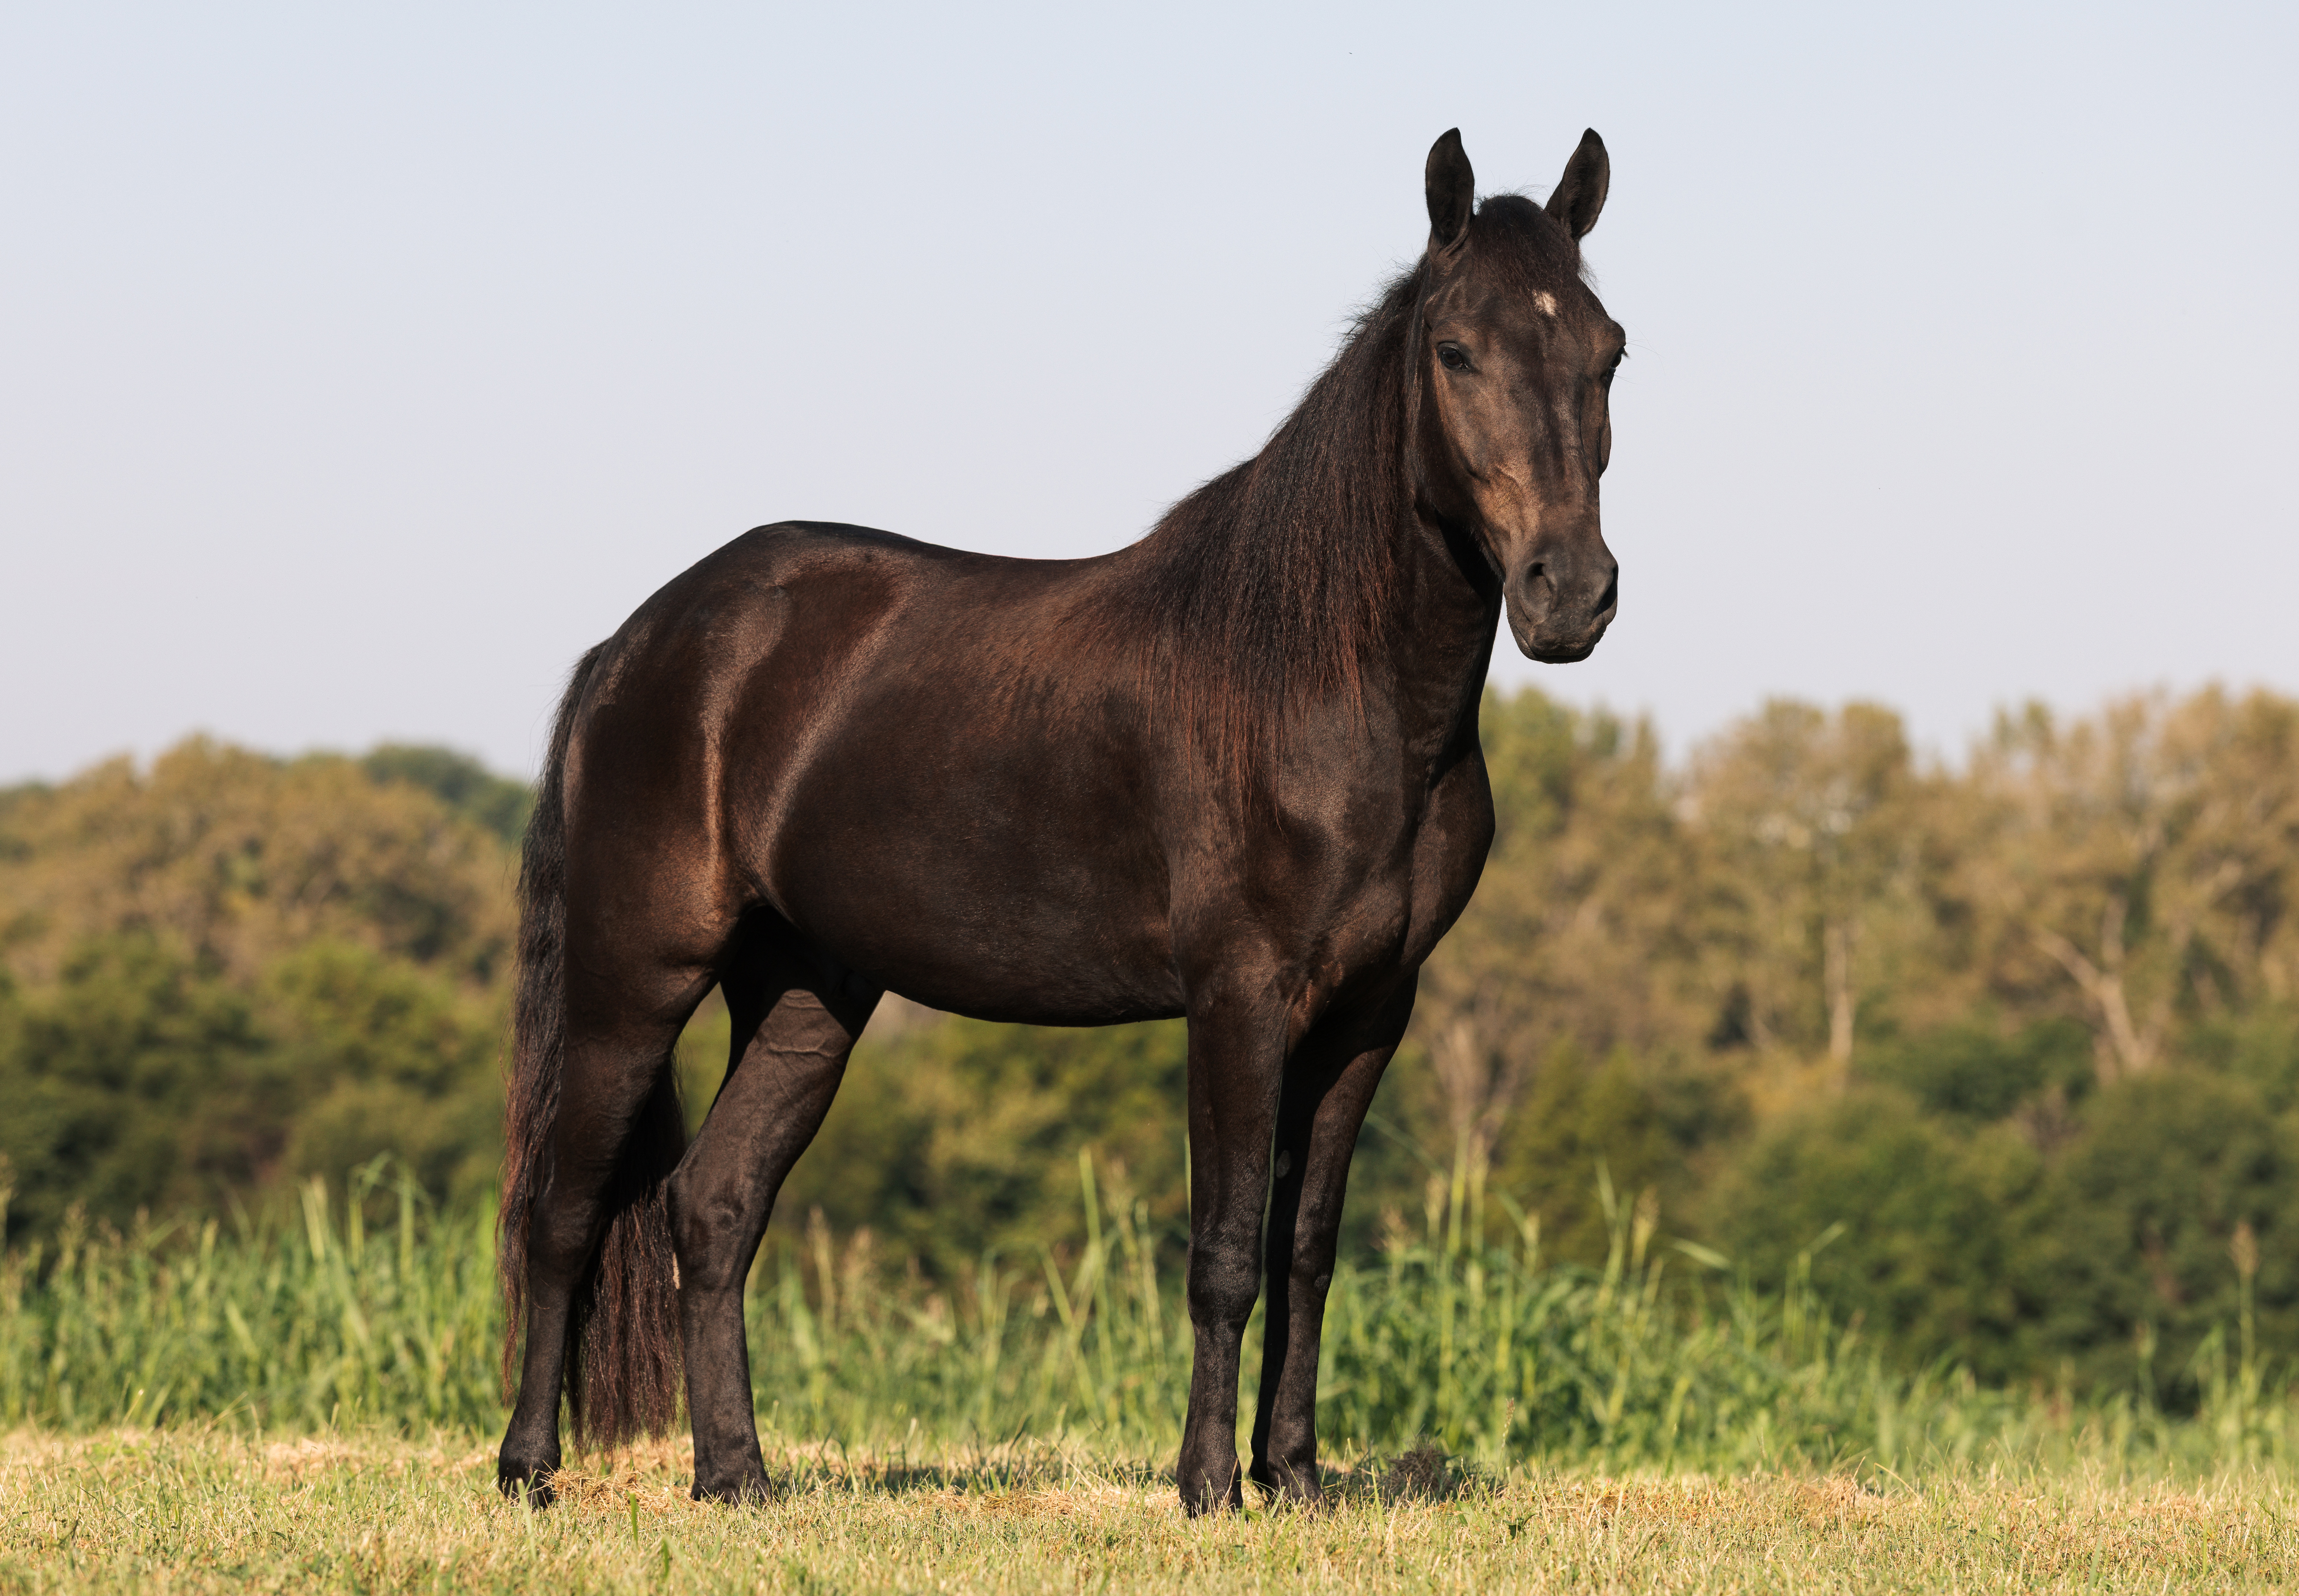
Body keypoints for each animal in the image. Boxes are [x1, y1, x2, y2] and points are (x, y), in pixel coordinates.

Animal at [495, 125, 1625, 1513]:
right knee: (563, 1210)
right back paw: (529, 1471)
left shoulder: (1371, 1011)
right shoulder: (1238, 997)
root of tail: (638, 642)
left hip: (807, 994)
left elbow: (1305, 1252)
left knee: (710, 1207)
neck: (1322, 683)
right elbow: (1225, 1252)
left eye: (1607, 350)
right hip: (632, 978)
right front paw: (1207, 1487)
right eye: (1455, 352)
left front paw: (1295, 1477)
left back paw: (737, 1479)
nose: (1569, 595)